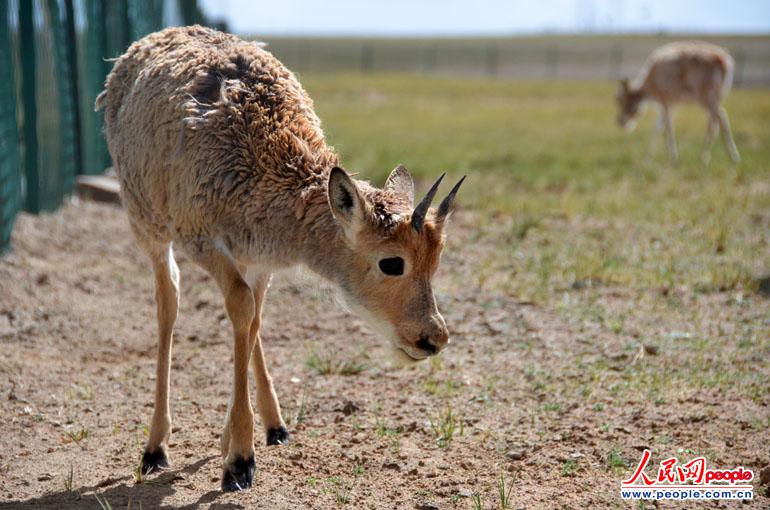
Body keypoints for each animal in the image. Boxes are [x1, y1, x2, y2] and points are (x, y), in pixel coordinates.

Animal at [96, 25, 462, 492]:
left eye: (437, 261)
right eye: (392, 262)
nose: (433, 338)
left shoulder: (262, 259)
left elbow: (252, 318)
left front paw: (237, 440)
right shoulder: (201, 239)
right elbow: (237, 306)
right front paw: (238, 461)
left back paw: (274, 425)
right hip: (147, 223)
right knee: (169, 301)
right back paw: (155, 447)